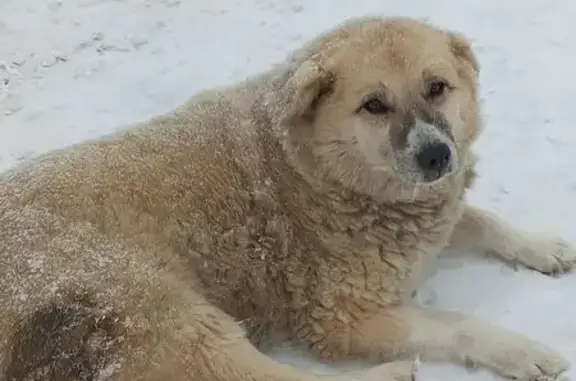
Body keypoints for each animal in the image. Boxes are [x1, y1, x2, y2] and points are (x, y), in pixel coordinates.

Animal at [1, 15, 576, 380]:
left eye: (437, 87)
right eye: (374, 105)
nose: (438, 157)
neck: (313, 170)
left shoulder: (431, 213)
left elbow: (484, 221)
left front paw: (543, 247)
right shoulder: (340, 320)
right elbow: (455, 324)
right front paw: (520, 349)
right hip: (166, 316)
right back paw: (391, 375)